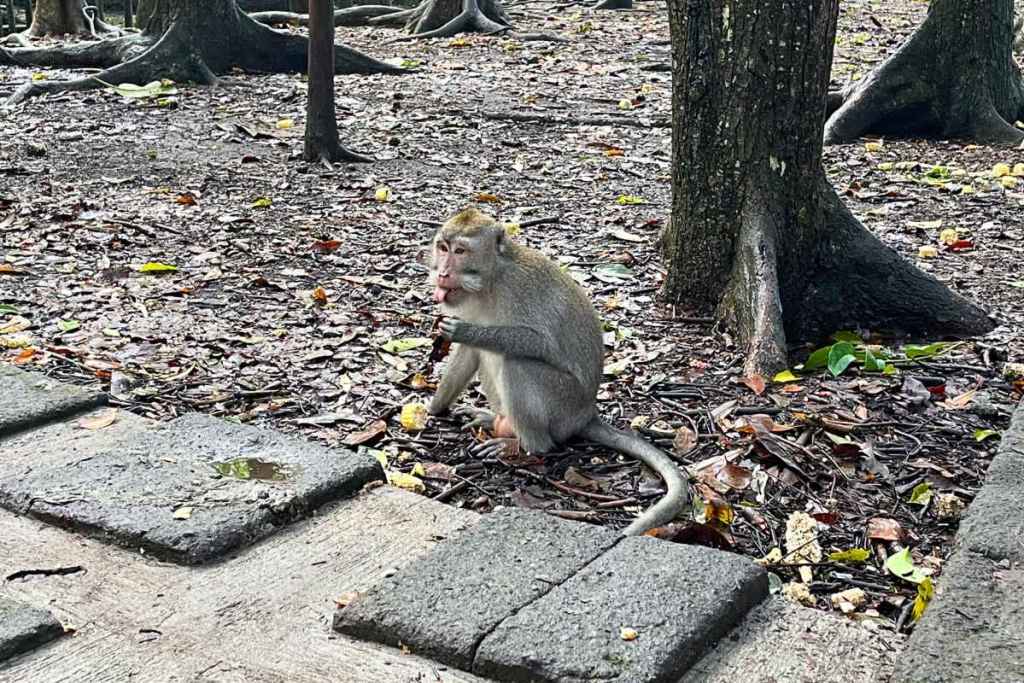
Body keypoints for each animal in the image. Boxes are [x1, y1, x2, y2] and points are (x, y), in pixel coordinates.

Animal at [426, 207, 690, 536]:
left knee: (517, 363)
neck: (489, 282)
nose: (442, 273)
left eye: (460, 251)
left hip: (564, 404)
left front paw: (467, 331)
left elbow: (538, 343)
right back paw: (496, 420)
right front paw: (433, 408)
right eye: (442, 248)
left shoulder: (519, 289)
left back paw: (523, 446)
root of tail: (587, 412)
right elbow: (468, 353)